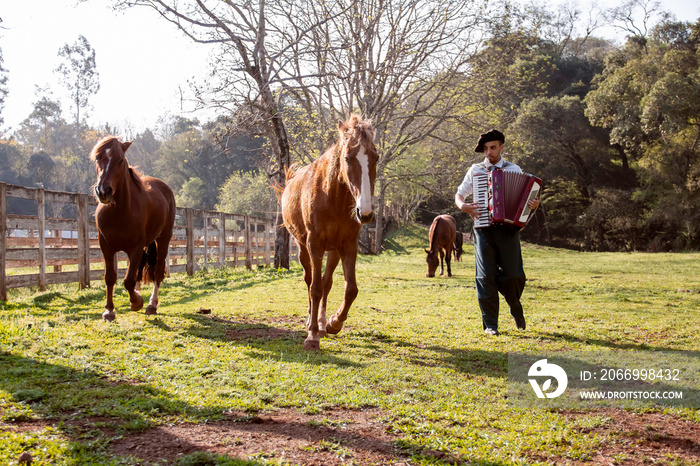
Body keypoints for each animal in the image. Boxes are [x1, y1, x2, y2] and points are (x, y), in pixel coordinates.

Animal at [91, 135, 176, 320]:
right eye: (98, 158)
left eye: (120, 160)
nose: (103, 191)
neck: (119, 212)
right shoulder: (106, 246)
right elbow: (110, 277)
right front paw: (109, 310)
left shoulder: (135, 247)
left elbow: (128, 280)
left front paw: (137, 302)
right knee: (138, 269)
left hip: (163, 239)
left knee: (158, 271)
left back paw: (151, 304)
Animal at [280, 114, 380, 350]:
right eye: (347, 158)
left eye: (376, 158)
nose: (365, 212)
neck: (333, 196)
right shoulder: (314, 244)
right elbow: (315, 288)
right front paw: (311, 336)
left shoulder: (348, 246)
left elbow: (350, 289)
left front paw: (334, 322)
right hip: (303, 248)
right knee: (310, 281)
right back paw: (311, 320)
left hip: (333, 251)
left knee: (327, 282)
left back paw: (322, 323)